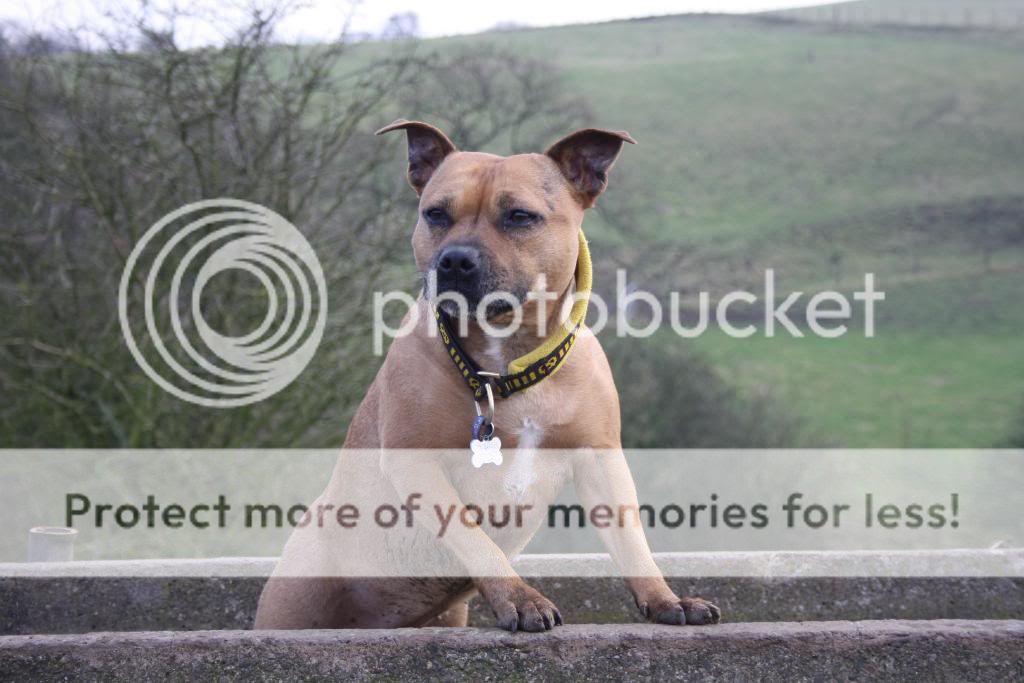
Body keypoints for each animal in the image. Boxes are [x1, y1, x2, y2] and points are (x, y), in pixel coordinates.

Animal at [254, 120, 720, 634]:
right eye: (435, 214)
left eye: (519, 216)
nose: (455, 260)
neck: (506, 364)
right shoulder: (417, 464)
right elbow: (471, 535)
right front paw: (519, 598)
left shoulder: (601, 459)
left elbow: (630, 540)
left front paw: (664, 599)